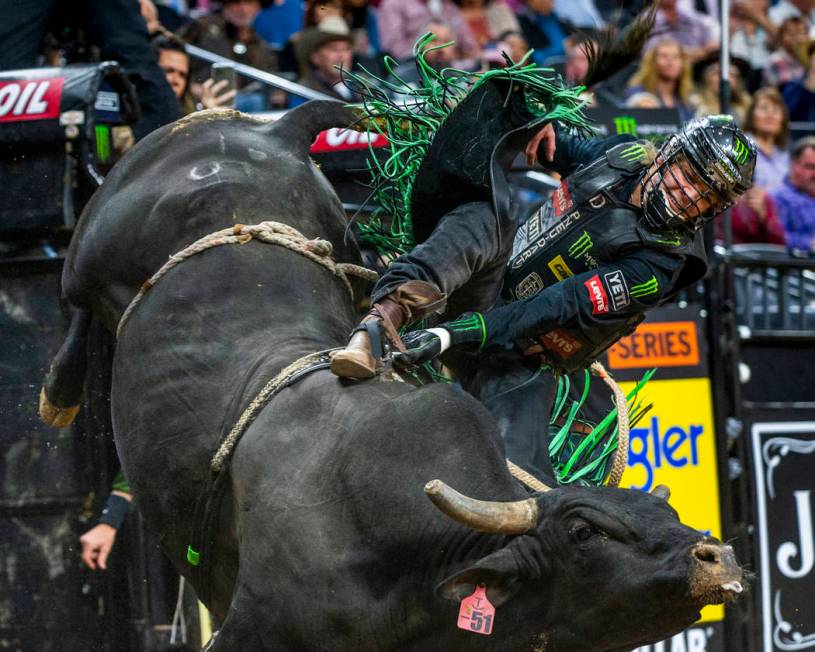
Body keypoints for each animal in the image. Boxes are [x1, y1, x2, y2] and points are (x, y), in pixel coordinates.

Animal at [43, 102, 744, 652]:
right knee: (73, 293)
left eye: (664, 508)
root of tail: (280, 133)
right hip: (101, 233)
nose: (718, 556)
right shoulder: (246, 631)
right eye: (582, 530)